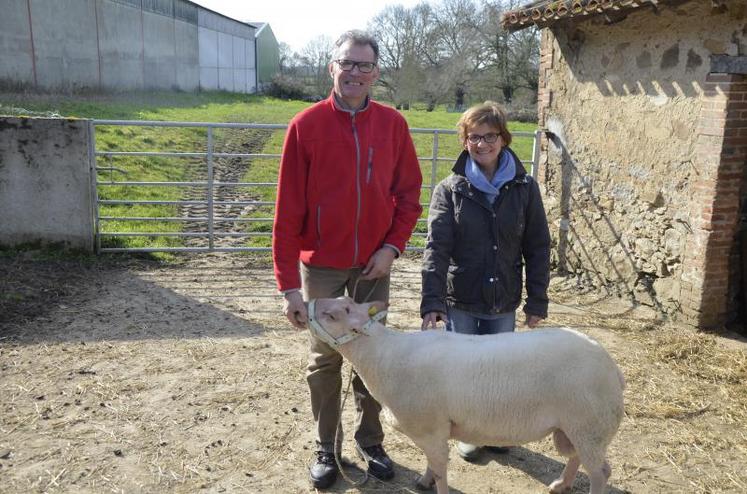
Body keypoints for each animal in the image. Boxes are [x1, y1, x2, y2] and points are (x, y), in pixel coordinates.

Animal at [306, 298, 628, 494]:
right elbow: (431, 464)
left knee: (601, 471)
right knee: (577, 459)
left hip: (590, 425)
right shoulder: (434, 430)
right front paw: (422, 480)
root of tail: (613, 368)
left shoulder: (431, 428)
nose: (305, 304)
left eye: (333, 315)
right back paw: (560, 484)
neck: (382, 357)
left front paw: (433, 483)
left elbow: (440, 469)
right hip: (575, 428)